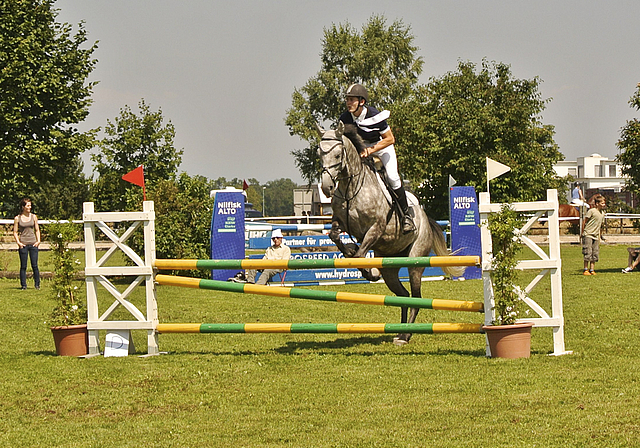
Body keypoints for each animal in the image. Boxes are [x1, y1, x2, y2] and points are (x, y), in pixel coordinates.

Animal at [316, 121, 462, 344]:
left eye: (338, 155)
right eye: (319, 153)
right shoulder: (340, 222)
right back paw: (401, 332)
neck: (351, 188)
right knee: (403, 295)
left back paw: (407, 335)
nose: (326, 187)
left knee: (416, 297)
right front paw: (349, 250)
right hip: (390, 269)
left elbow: (360, 255)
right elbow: (335, 236)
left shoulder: (375, 228)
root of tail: (425, 219)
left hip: (415, 263)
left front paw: (367, 269)